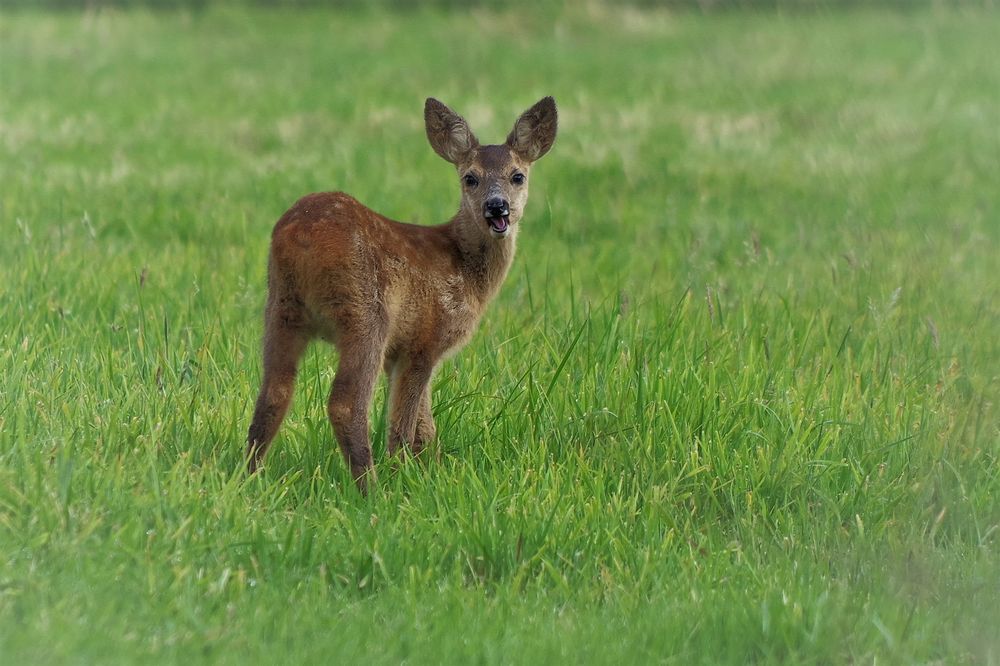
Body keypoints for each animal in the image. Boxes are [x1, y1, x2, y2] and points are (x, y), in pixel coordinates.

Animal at [242, 96, 556, 490]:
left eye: (518, 175)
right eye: (470, 178)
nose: (496, 207)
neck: (463, 267)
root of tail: (300, 236)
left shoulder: (400, 351)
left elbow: (425, 424)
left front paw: (432, 473)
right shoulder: (425, 338)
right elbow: (406, 424)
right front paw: (405, 477)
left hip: (281, 306)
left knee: (273, 392)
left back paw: (248, 476)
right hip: (365, 312)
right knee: (346, 404)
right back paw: (371, 487)